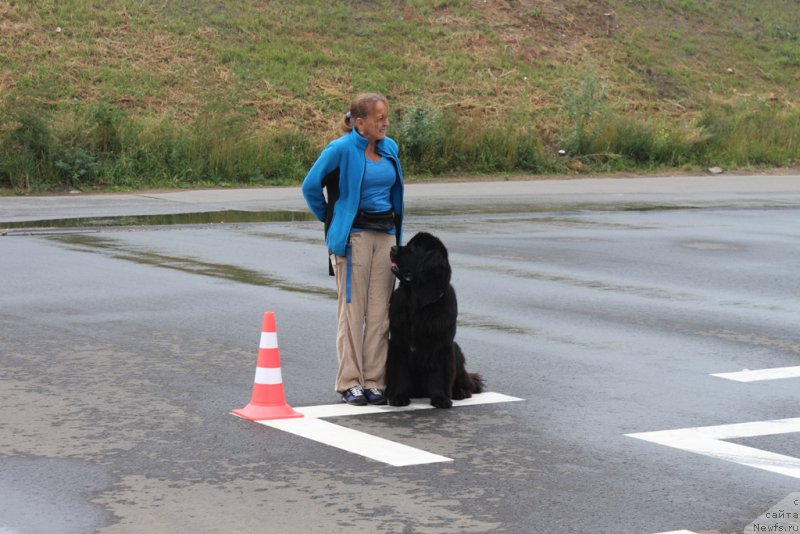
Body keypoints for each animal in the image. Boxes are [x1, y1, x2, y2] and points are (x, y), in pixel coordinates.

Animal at [386, 231, 484, 410]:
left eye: (414, 248)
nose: (392, 248)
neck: (418, 303)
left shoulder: (441, 346)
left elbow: (439, 376)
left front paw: (441, 399)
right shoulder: (398, 343)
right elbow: (401, 373)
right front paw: (398, 397)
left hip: (456, 349)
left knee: (469, 383)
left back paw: (460, 392)